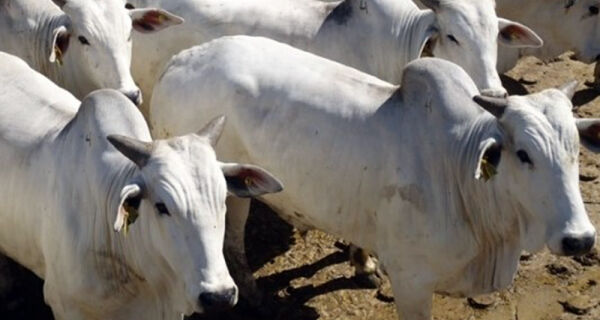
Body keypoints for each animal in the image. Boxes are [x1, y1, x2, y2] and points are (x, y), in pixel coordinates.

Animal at [149, 37, 596, 318]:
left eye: (576, 151)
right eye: (523, 154)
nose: (580, 239)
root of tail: (180, 60)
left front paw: (361, 263)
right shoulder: (412, 282)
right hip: (229, 192)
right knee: (232, 241)